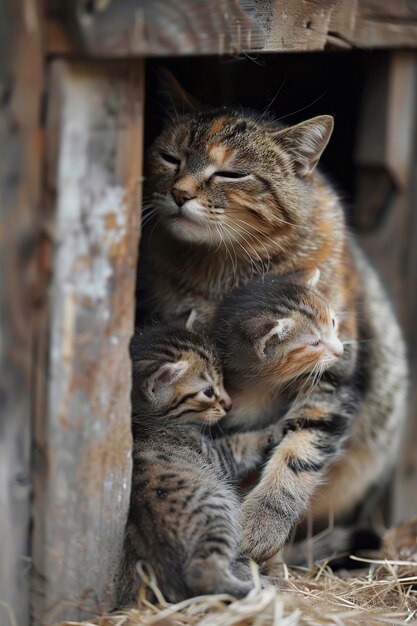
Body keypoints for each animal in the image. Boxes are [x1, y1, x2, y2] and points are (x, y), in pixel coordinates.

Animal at [116, 324, 280, 604]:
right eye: (208, 392)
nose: (229, 404)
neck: (143, 419)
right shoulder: (217, 455)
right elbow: (243, 444)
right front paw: (276, 429)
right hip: (215, 509)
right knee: (203, 572)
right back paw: (256, 588)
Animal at [136, 79, 406, 560]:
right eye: (170, 158)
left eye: (230, 174)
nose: (180, 193)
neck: (223, 269)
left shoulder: (333, 372)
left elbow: (301, 446)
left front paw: (262, 522)